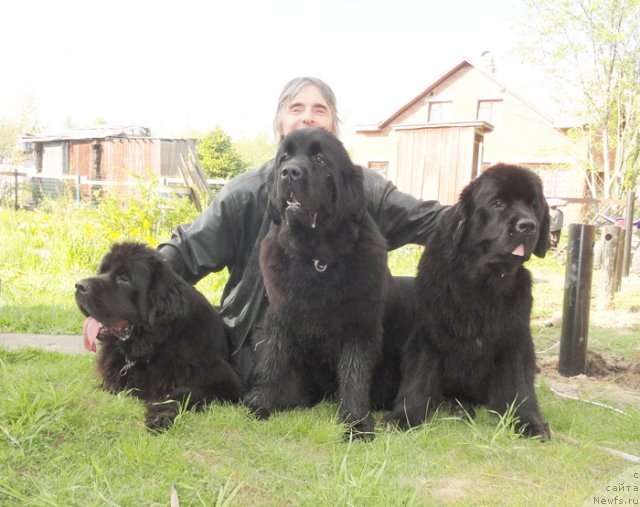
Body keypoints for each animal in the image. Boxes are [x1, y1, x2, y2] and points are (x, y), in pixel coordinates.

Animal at [74, 244, 242, 430]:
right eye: (102, 270)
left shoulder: (228, 383)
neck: (152, 347)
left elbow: (184, 392)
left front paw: (160, 415)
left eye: (124, 278)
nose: (79, 286)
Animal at [242, 128, 408, 440]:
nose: (289, 172)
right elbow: (272, 360)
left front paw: (356, 424)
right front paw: (260, 403)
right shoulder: (281, 315)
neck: (316, 258)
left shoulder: (359, 324)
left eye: (319, 159)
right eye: (284, 157)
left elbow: (355, 374)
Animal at [382, 165, 552, 438]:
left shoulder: (515, 337)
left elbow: (520, 386)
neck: (482, 283)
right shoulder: (429, 333)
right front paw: (403, 418)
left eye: (533, 205)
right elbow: (418, 379)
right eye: (498, 203)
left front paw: (530, 422)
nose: (528, 226)